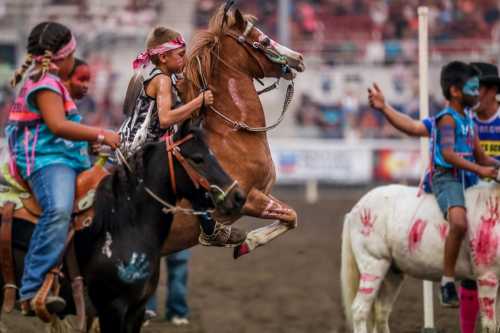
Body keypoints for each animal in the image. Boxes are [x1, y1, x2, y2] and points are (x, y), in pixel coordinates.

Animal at [162, 4, 306, 256]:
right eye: (264, 40)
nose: (298, 58)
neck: (233, 135)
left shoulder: (263, 192)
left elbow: (291, 217)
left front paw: (245, 243)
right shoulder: (248, 197)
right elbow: (290, 214)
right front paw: (244, 241)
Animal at [342, 183, 500, 330]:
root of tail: (356, 209)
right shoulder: (487, 278)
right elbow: (490, 325)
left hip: (392, 273)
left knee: (382, 313)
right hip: (374, 264)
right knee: (359, 310)